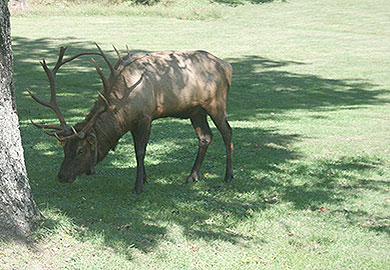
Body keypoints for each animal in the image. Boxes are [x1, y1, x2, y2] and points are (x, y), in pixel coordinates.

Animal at [29, 44, 235, 193]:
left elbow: (140, 151)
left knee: (227, 132)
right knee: (205, 137)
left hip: (216, 103)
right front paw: (144, 178)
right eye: (64, 148)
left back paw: (228, 176)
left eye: (81, 150)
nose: (62, 176)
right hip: (196, 110)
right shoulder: (133, 124)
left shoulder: (146, 117)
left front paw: (138, 187)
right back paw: (192, 176)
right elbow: (139, 150)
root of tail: (227, 66)